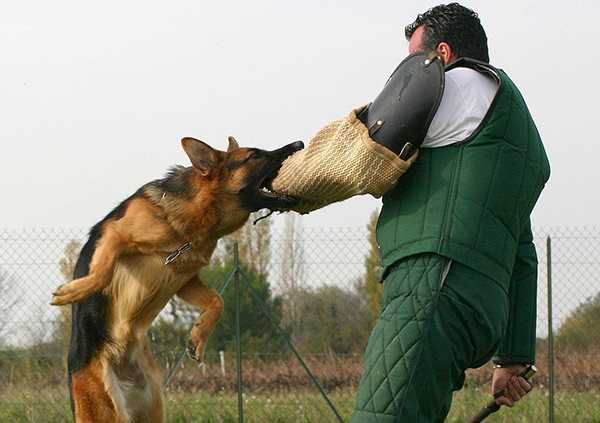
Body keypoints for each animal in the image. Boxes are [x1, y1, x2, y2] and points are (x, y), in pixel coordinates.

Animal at [51, 137, 302, 422]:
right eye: (254, 156)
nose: (299, 143)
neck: (196, 220)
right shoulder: (115, 233)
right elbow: (103, 270)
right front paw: (74, 291)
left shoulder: (185, 279)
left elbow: (217, 301)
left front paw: (198, 338)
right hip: (106, 413)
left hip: (152, 410)